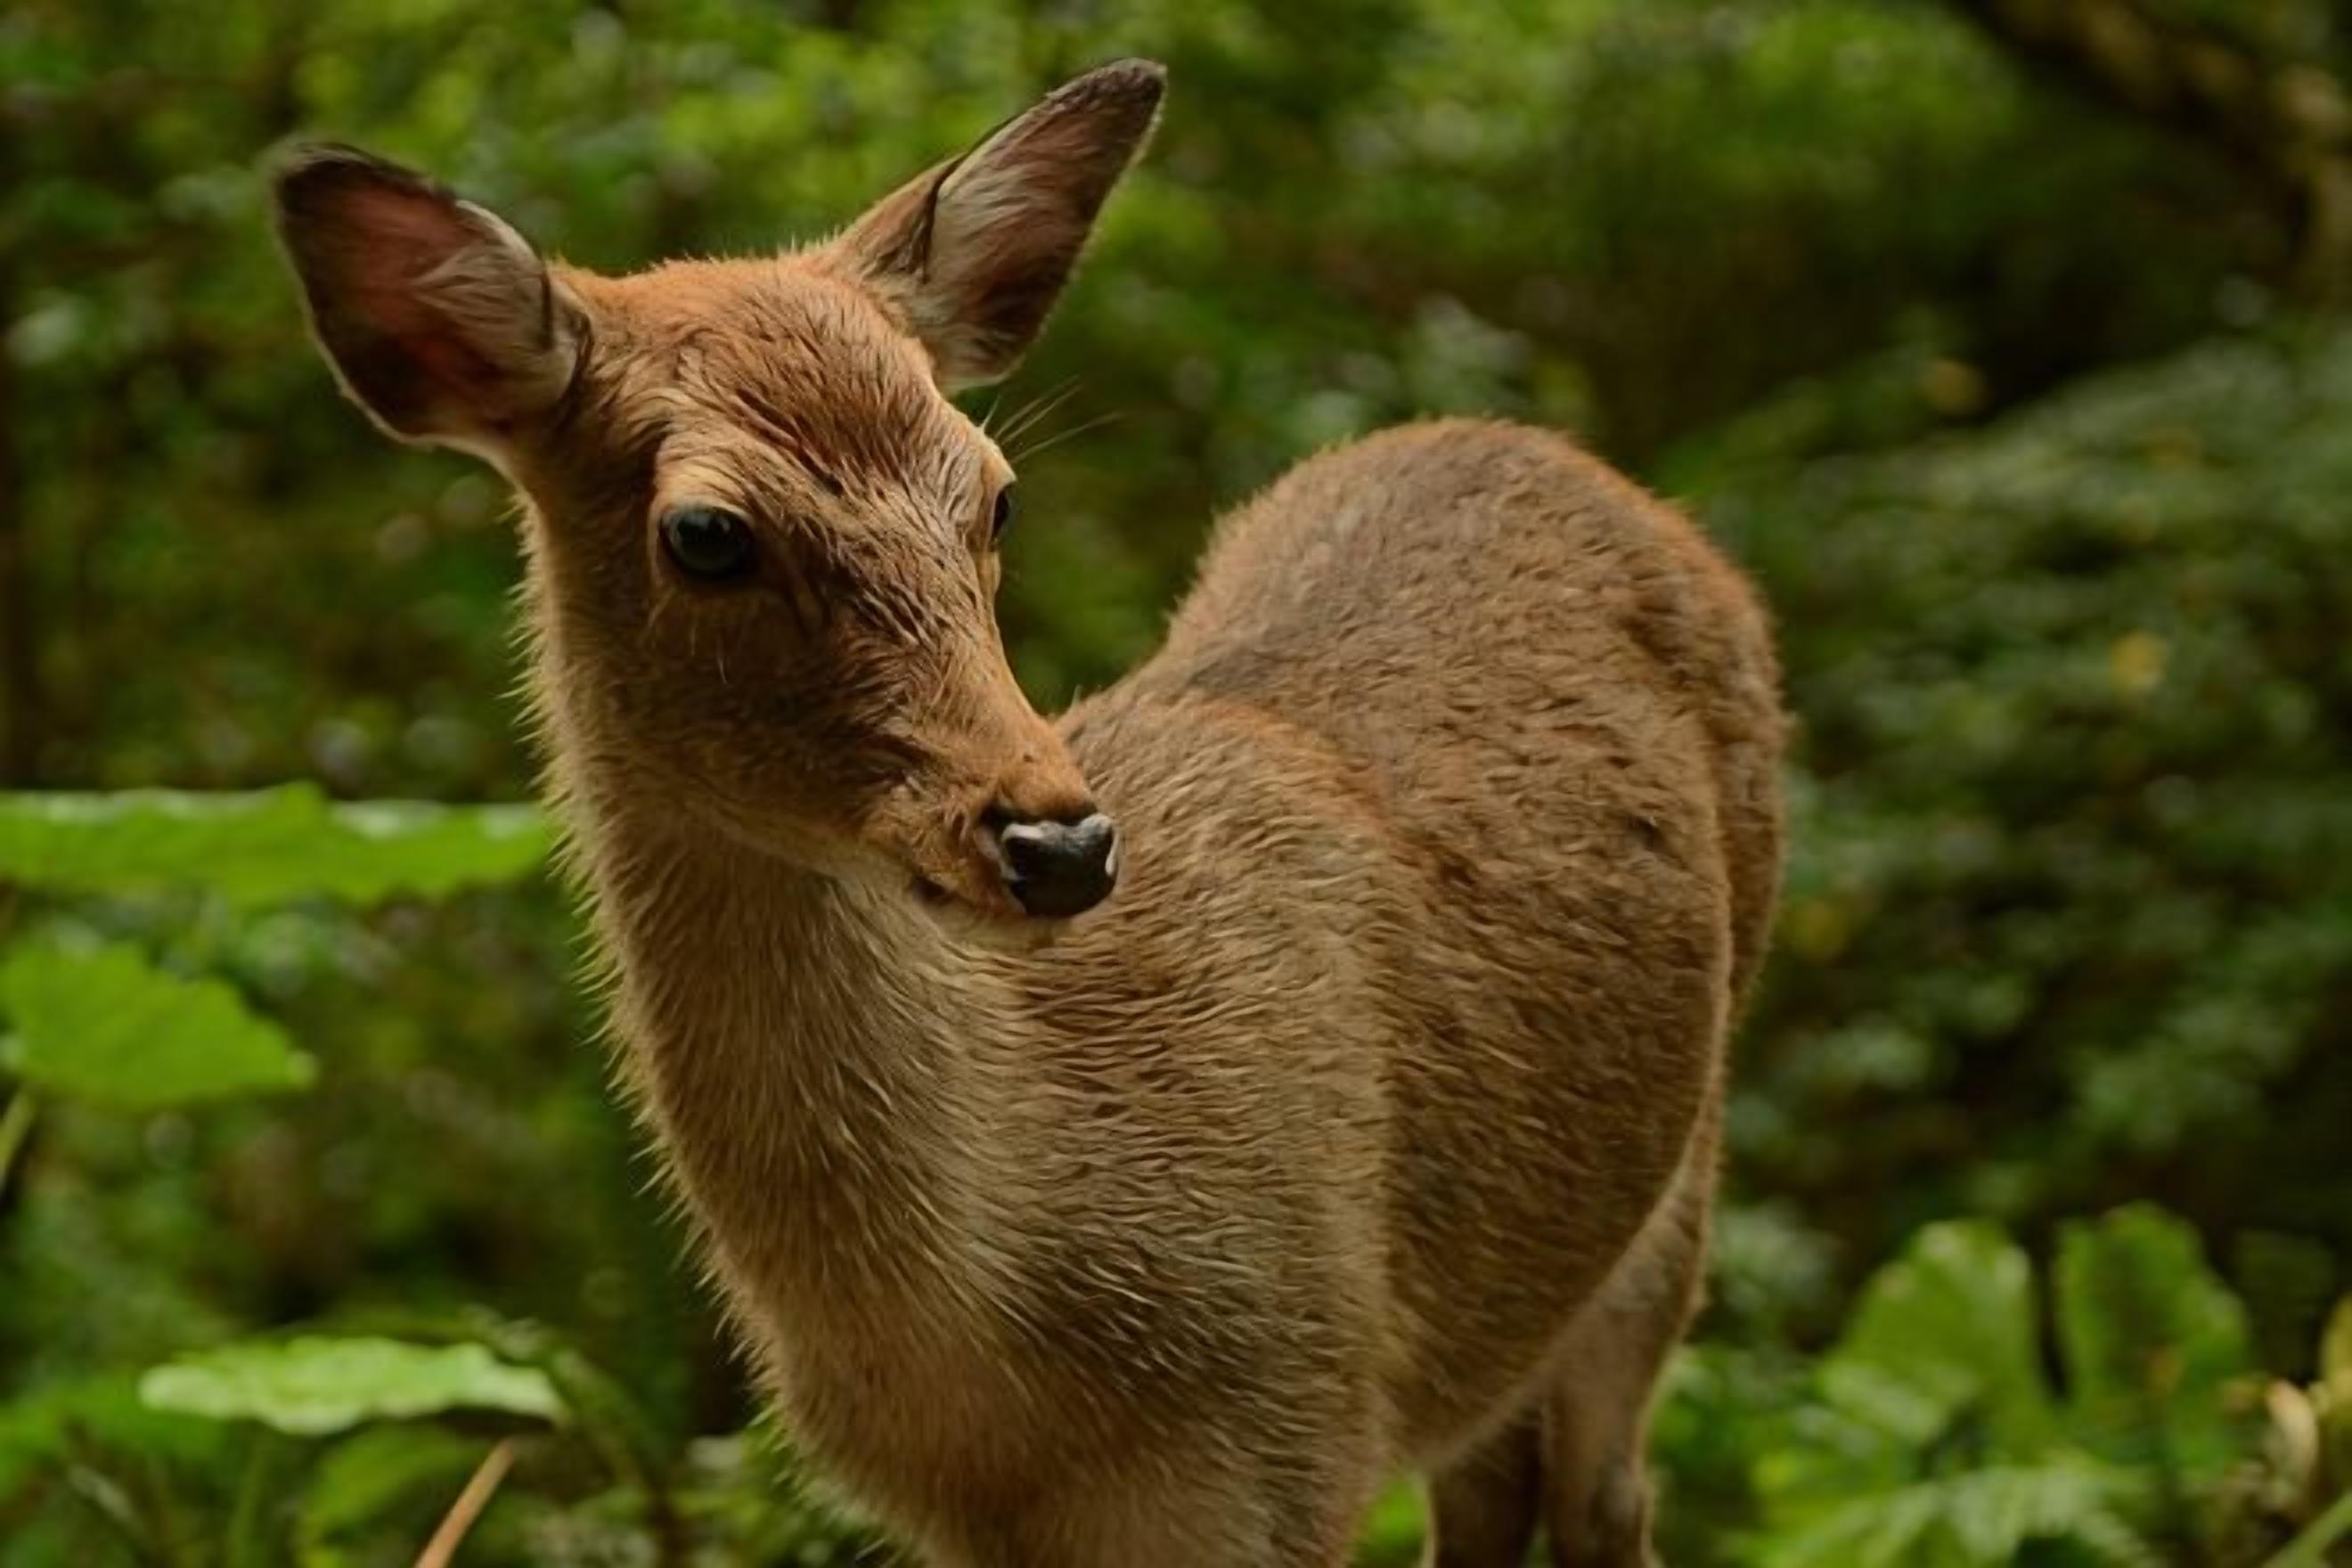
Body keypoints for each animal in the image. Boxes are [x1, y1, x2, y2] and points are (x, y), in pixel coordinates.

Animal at [271, 58, 1783, 1568]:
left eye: (995, 495)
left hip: (1678, 1187)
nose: (1058, 843)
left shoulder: (1297, 1426)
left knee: (1605, 1495)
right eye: (706, 533)